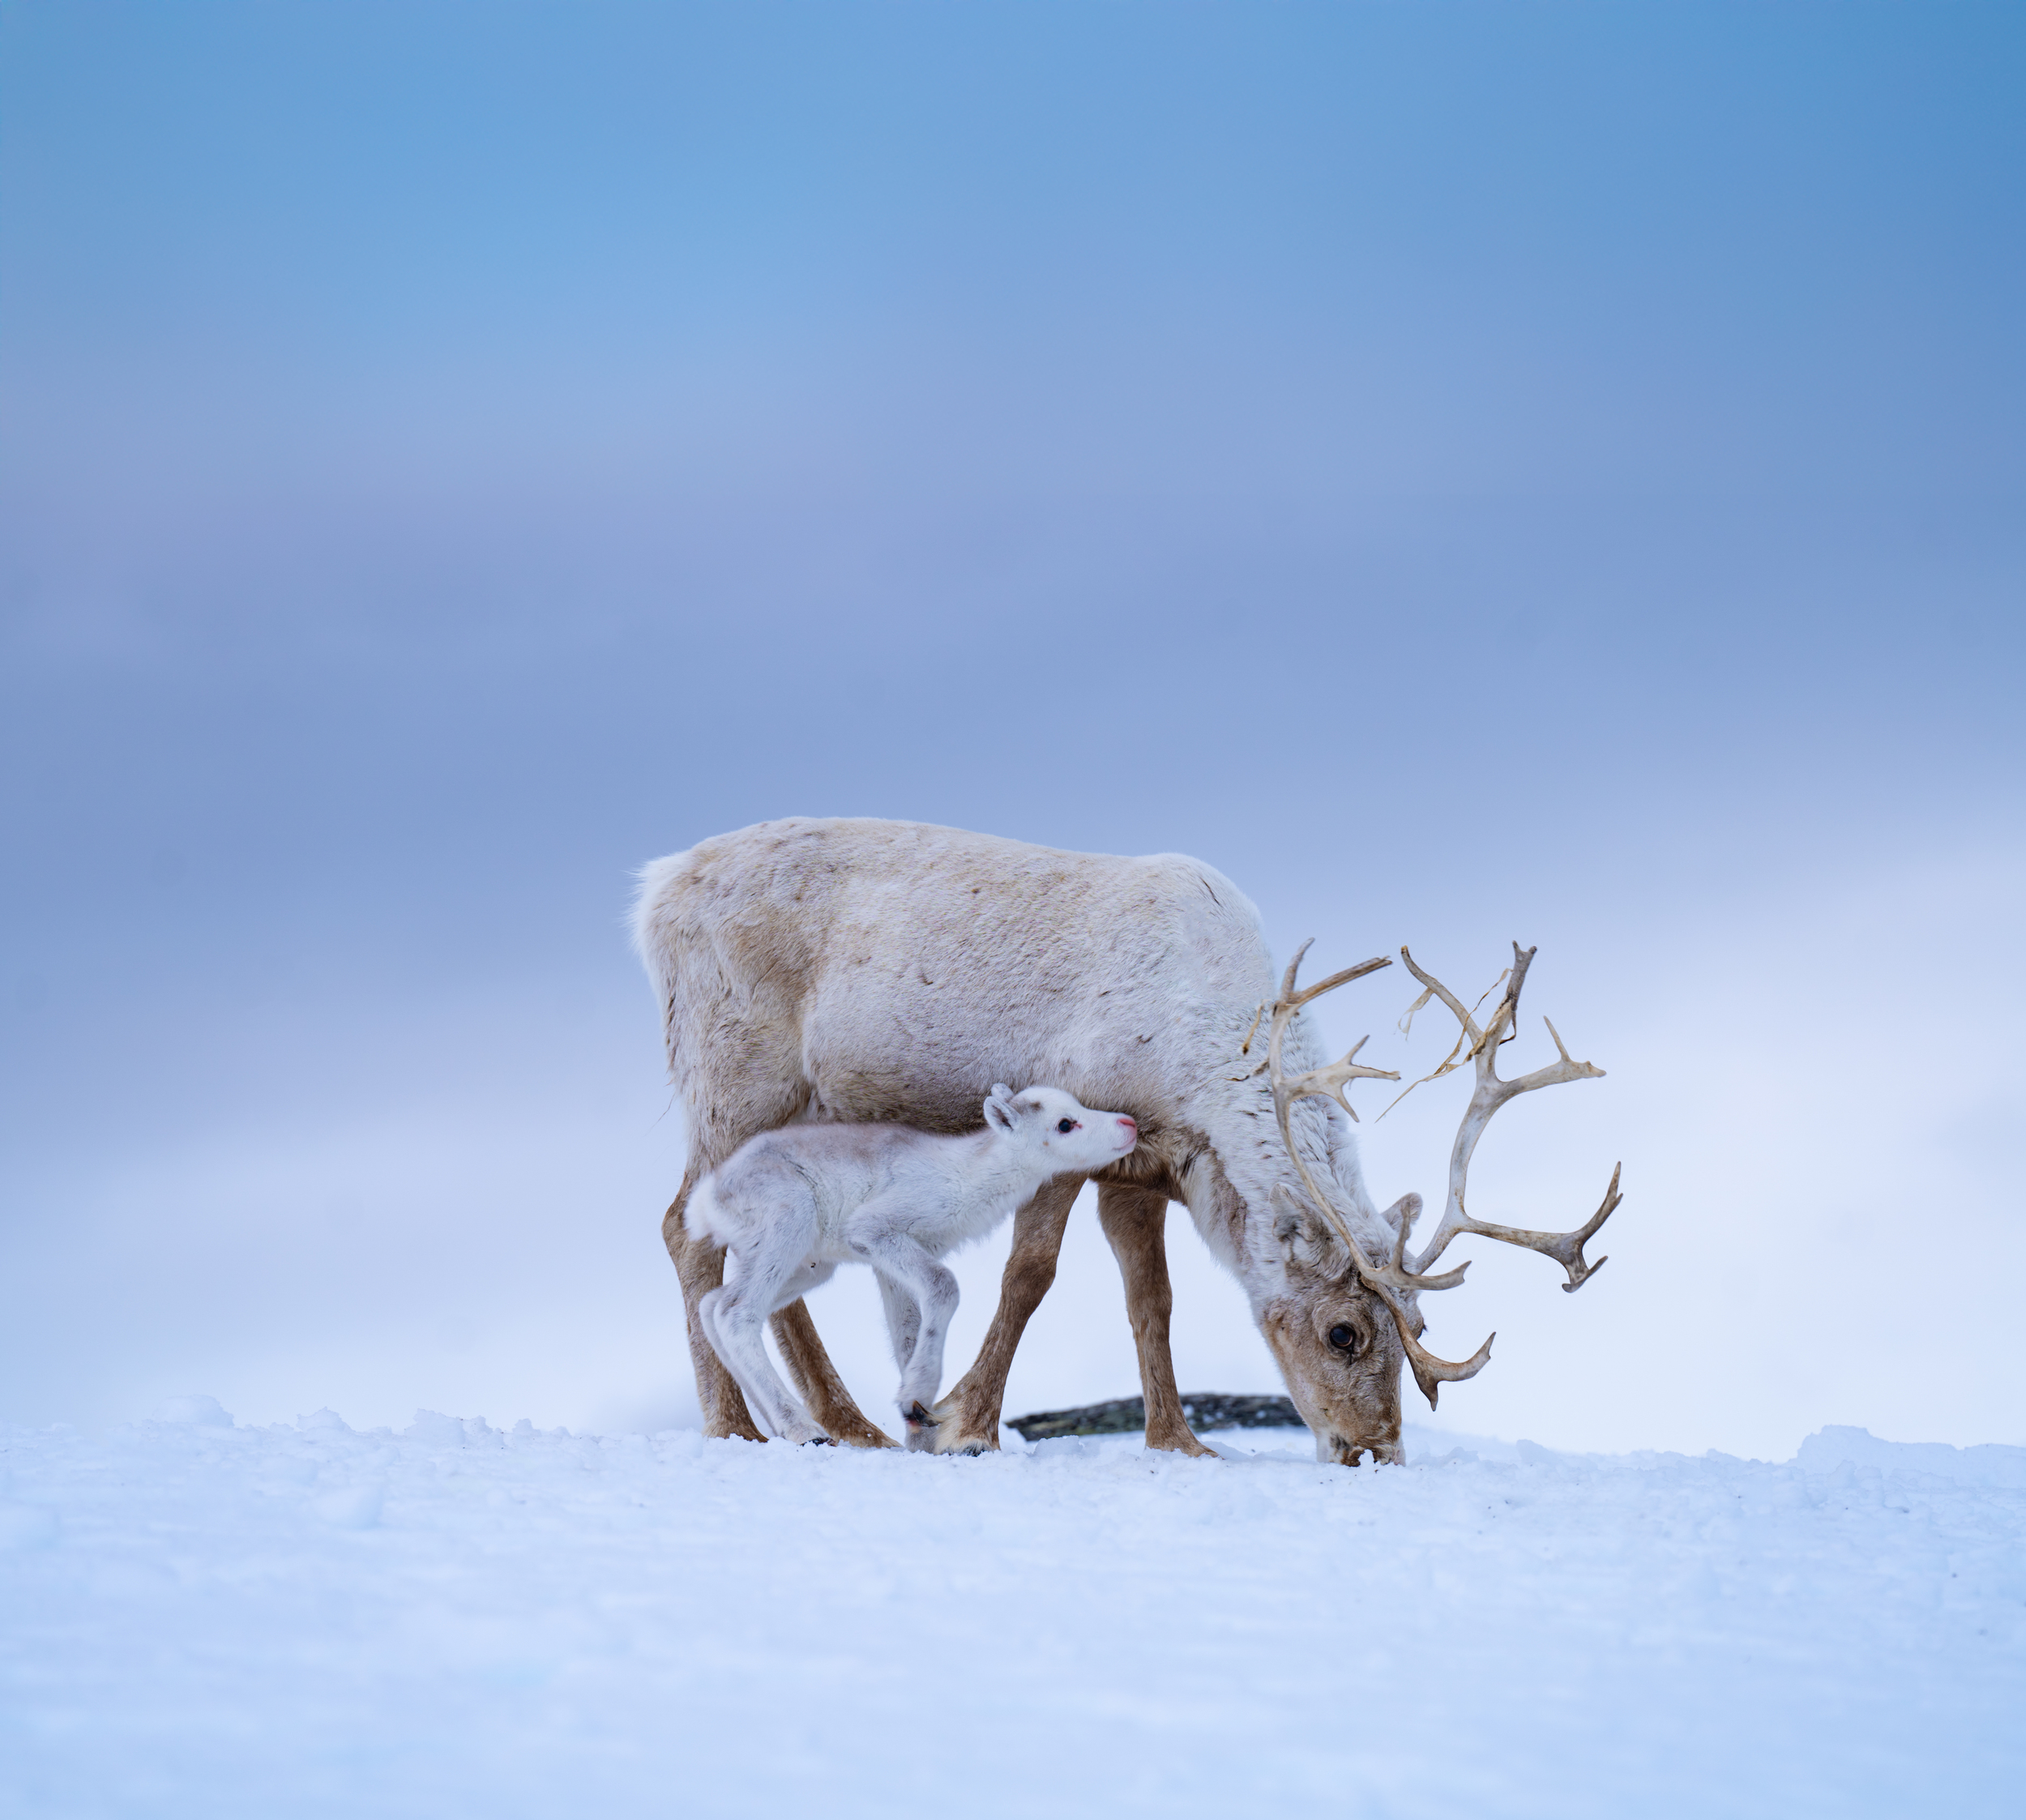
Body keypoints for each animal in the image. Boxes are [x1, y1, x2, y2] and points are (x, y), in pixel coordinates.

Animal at [688, 1084, 1140, 1445]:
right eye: (1065, 1124)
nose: (1130, 1124)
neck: (969, 1178)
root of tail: (706, 1200)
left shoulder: (893, 1265)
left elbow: (907, 1334)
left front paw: (918, 1421)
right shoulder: (874, 1230)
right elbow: (944, 1286)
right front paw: (916, 1395)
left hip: (809, 1266)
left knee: (712, 1305)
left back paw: (774, 1426)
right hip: (789, 1224)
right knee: (734, 1313)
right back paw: (802, 1429)